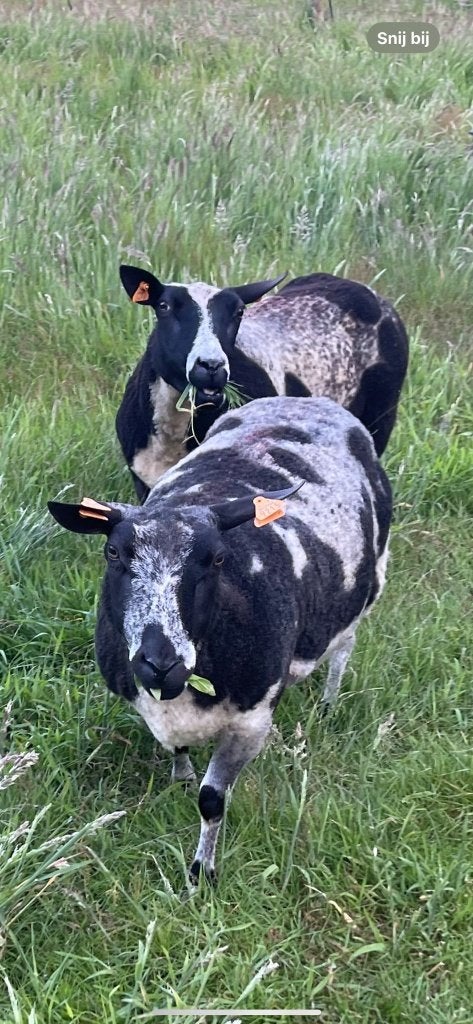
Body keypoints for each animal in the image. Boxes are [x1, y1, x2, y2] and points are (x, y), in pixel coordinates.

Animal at [48, 395, 392, 881]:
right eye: (112, 552)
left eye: (217, 559)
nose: (160, 664)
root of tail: (307, 401)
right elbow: (178, 748)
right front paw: (180, 777)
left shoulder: (251, 722)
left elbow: (212, 801)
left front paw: (201, 874)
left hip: (372, 580)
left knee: (344, 648)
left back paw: (328, 703)